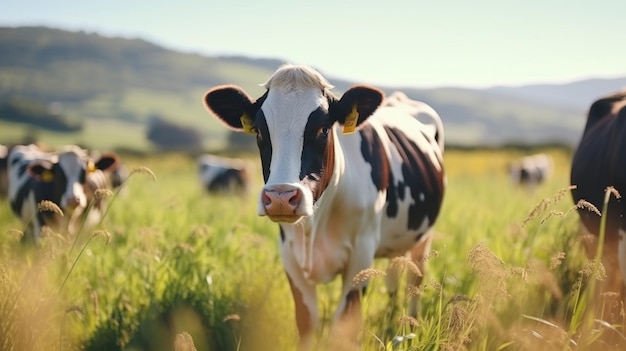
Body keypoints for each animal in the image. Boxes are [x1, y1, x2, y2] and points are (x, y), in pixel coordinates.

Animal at [201, 64, 444, 350]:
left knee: (415, 280)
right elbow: (306, 320)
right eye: (260, 131)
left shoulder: (361, 256)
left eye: (323, 129)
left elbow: (342, 327)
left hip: (423, 237)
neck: (314, 228)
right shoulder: (290, 254)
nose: (281, 197)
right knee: (395, 279)